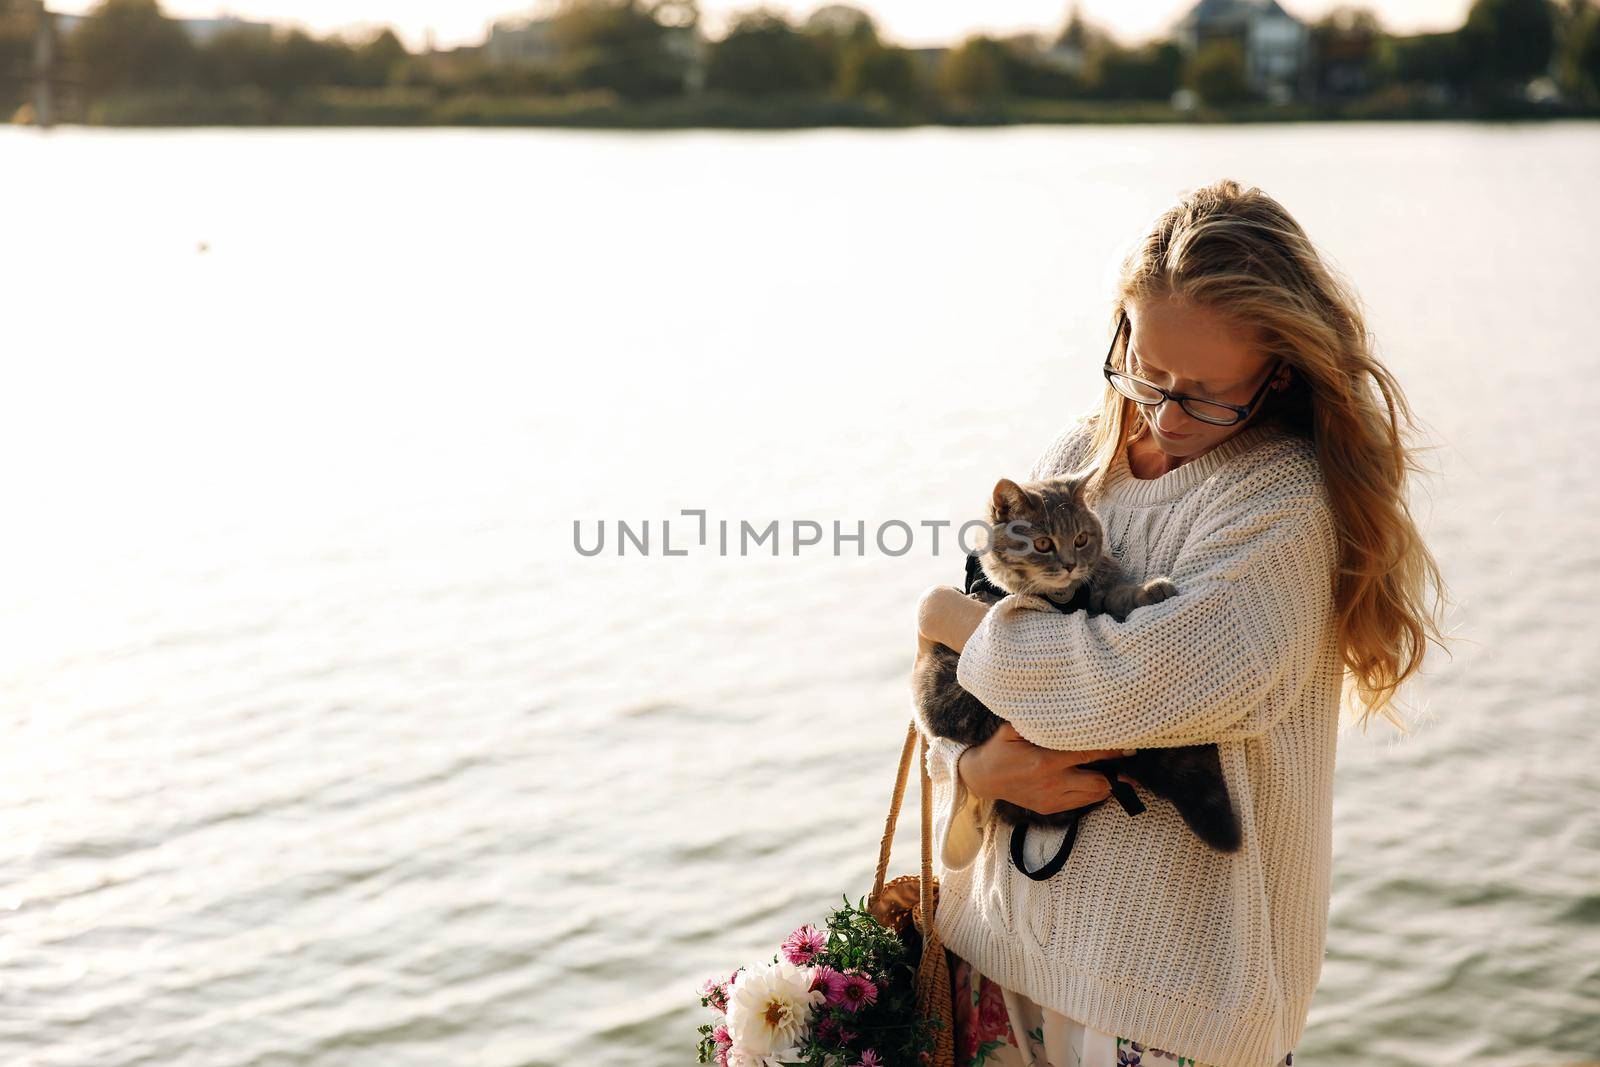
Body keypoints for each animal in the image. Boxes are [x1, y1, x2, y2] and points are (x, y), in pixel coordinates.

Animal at [915, 476, 1235, 857]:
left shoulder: (1099, 587)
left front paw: (1150, 590)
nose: (1069, 564)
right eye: (1042, 544)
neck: (1066, 599)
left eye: (1081, 539)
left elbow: (1118, 593)